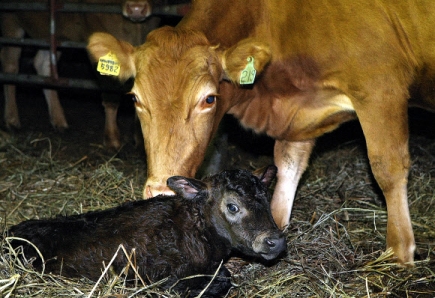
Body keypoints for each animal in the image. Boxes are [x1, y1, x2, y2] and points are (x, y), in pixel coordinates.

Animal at [0, 0, 161, 149]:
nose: (136, 8)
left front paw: (141, 138)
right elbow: (111, 95)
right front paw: (112, 139)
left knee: (43, 64)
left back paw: (59, 120)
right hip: (10, 21)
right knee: (10, 66)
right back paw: (12, 119)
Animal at [86, 0, 435, 266]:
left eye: (209, 99)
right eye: (135, 98)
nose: (161, 191)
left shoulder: (380, 87)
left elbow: (387, 166)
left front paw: (399, 252)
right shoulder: (299, 113)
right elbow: (288, 165)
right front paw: (275, 223)